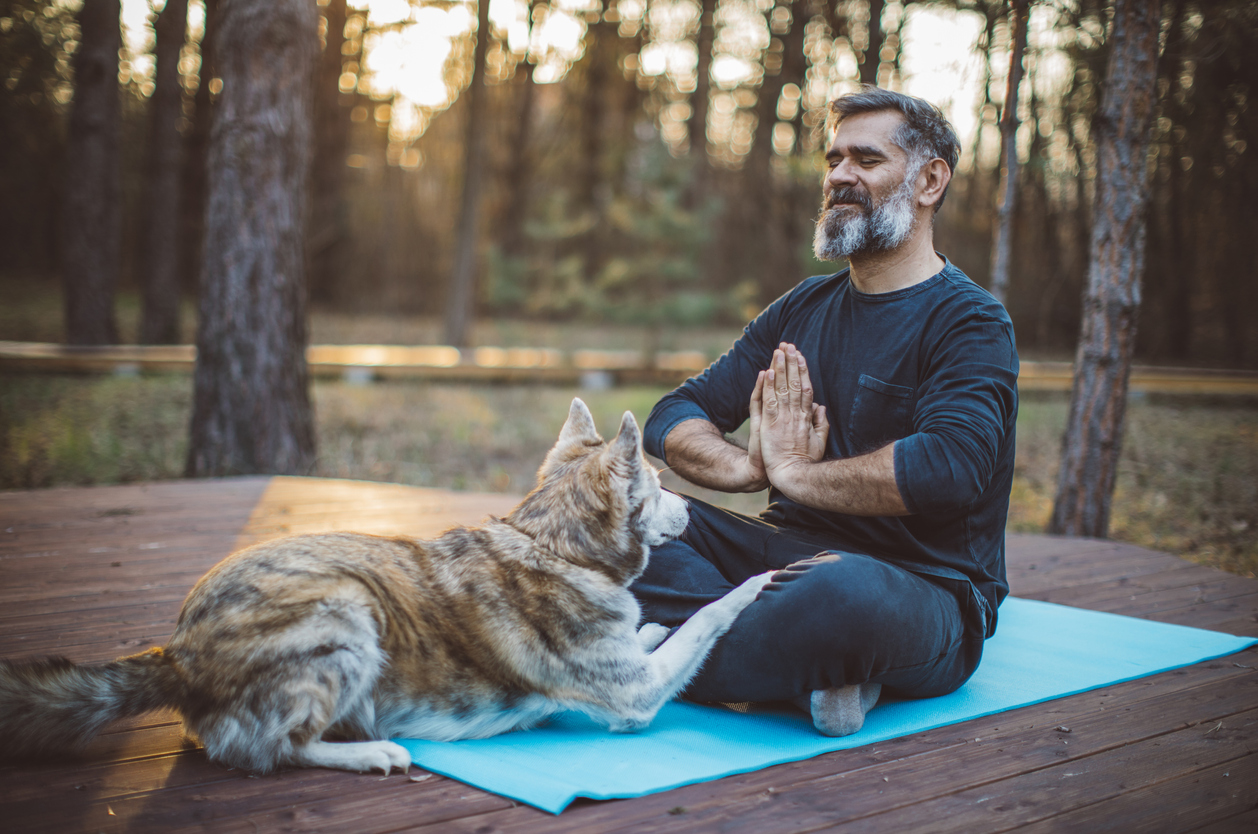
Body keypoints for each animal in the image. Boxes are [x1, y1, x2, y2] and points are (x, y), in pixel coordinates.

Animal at [0, 400, 769, 774]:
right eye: (660, 485)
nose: (690, 511)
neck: (554, 544)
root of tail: (177, 651)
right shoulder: (634, 701)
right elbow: (708, 616)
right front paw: (761, 580)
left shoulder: (629, 668)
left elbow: (659, 632)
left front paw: (651, 623)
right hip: (346, 616)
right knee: (271, 752)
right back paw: (371, 752)